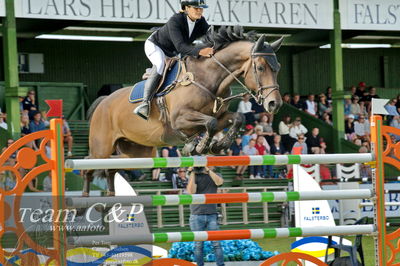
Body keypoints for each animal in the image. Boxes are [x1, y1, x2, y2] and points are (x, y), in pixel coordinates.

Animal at [83, 26, 284, 196]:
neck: (208, 78)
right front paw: (199, 146)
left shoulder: (219, 116)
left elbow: (237, 118)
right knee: (89, 165)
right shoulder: (179, 119)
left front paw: (217, 146)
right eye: (260, 67)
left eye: (278, 68)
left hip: (136, 152)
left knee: (111, 169)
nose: (274, 104)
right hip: (102, 148)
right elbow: (210, 123)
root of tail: (102, 102)